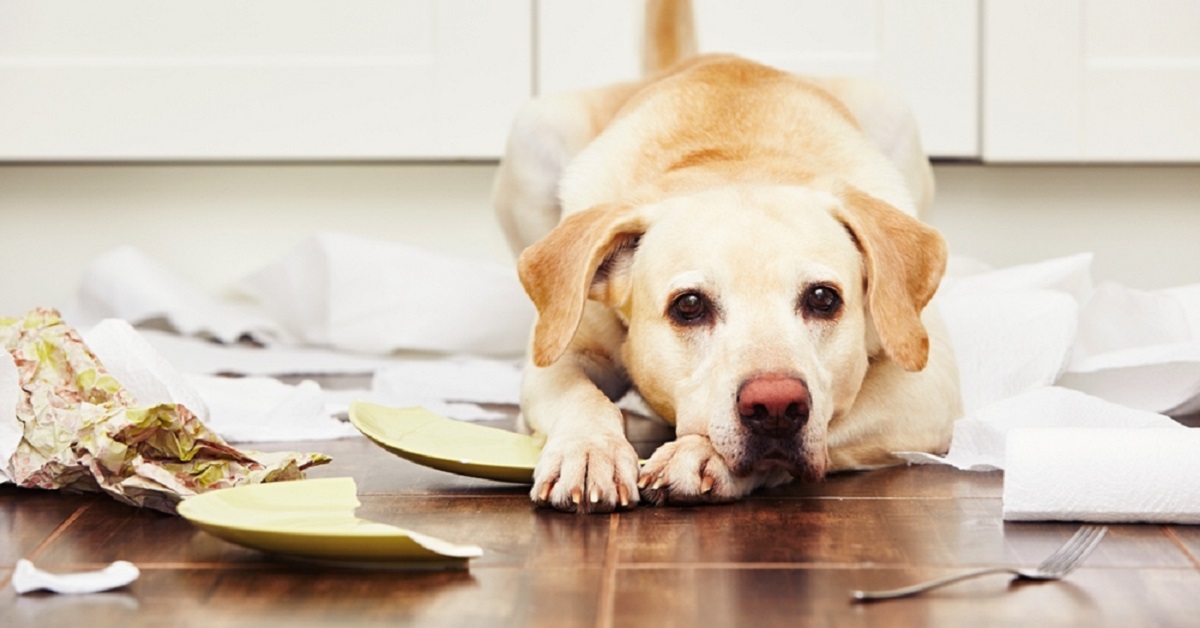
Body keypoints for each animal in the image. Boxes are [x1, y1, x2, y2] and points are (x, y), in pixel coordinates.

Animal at [492, 0, 960, 516]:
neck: (732, 156)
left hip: (892, 109)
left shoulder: (928, 388)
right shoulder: (559, 356)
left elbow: (840, 414)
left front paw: (701, 455)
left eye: (823, 298)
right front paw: (588, 449)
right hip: (533, 130)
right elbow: (580, 395)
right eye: (689, 305)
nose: (775, 406)